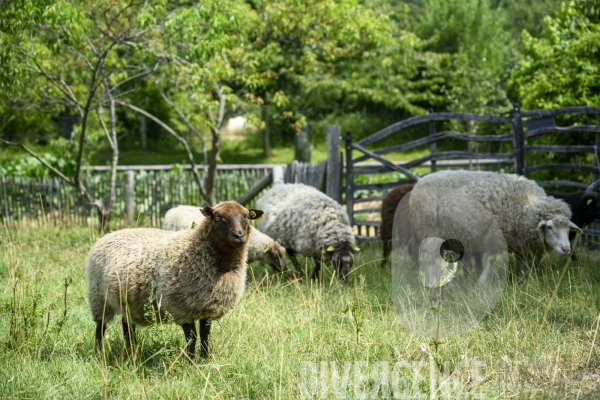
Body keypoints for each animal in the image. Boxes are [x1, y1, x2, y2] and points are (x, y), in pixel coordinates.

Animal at [86, 200, 262, 360]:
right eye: (218, 217)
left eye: (247, 217)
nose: (239, 236)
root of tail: (108, 235)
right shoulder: (180, 307)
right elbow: (192, 337)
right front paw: (191, 363)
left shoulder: (208, 306)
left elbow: (205, 334)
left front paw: (205, 359)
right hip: (98, 297)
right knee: (100, 326)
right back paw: (99, 352)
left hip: (128, 302)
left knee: (126, 325)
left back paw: (132, 350)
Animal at [408, 171, 580, 282]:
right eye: (549, 227)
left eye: (568, 229)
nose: (566, 249)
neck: (525, 208)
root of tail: (420, 181)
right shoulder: (494, 235)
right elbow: (491, 260)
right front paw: (482, 282)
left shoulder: (518, 241)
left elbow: (519, 261)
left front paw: (521, 280)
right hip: (430, 230)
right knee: (433, 260)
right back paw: (433, 282)